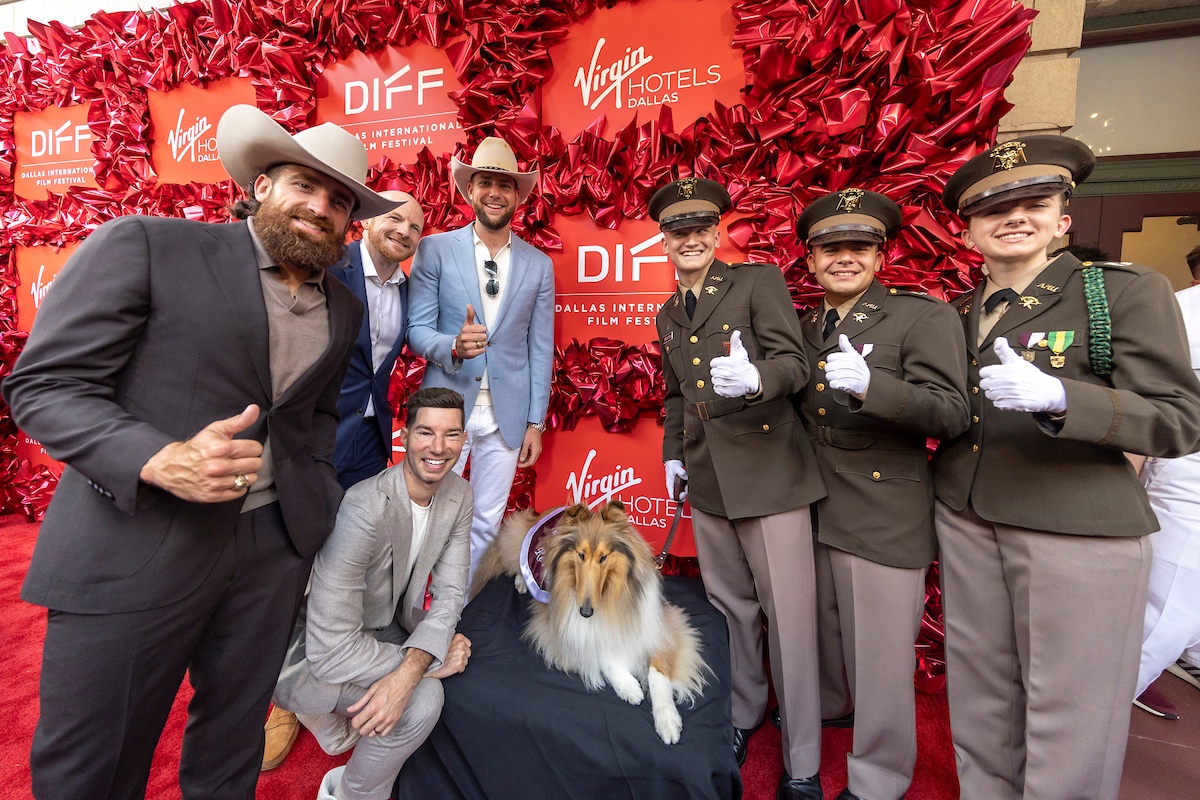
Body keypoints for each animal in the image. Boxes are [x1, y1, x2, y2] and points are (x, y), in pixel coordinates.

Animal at [472, 501, 705, 743]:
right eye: (581, 555)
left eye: (603, 557)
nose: (585, 612)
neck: (610, 598)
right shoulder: (555, 632)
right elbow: (598, 652)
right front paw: (629, 686)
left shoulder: (660, 625)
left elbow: (657, 672)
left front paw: (667, 719)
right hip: (516, 541)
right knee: (513, 561)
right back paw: (520, 581)